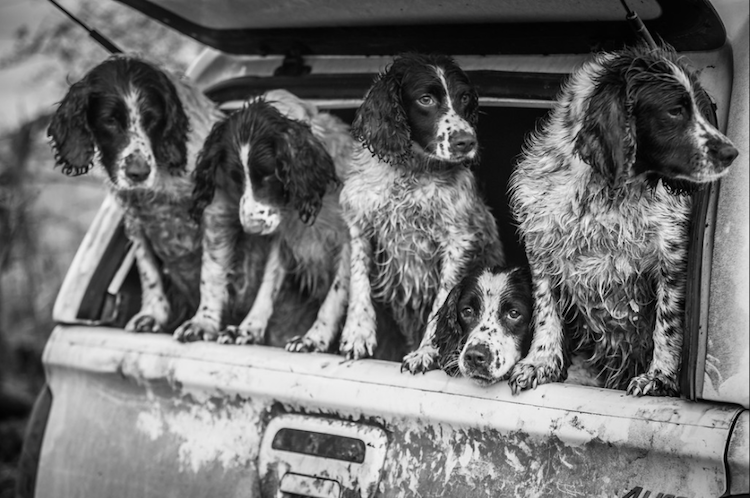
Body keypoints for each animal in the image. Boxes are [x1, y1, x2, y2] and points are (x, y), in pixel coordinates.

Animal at [46, 53, 222, 334]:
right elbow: (148, 271)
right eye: (110, 121)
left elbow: (212, 270)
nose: (138, 173)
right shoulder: (135, 221)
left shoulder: (214, 212)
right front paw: (153, 314)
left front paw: (203, 322)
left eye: (153, 119)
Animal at [176, 93, 356, 350]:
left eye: (270, 174)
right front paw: (247, 329)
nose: (250, 228)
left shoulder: (347, 242)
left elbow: (335, 294)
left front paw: (313, 338)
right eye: (236, 177)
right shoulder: (282, 243)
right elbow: (267, 286)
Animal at [340, 53, 506, 374]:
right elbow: (358, 280)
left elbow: (442, 302)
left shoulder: (458, 239)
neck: (411, 172)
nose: (466, 141)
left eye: (464, 97)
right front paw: (357, 333)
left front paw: (426, 352)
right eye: (426, 99)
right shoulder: (359, 221)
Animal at [508, 41, 736, 396]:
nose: (731, 153)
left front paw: (659, 377)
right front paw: (539, 362)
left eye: (701, 110)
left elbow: (667, 325)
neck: (606, 196)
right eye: (675, 111)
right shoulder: (541, 250)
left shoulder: (671, 262)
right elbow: (547, 311)